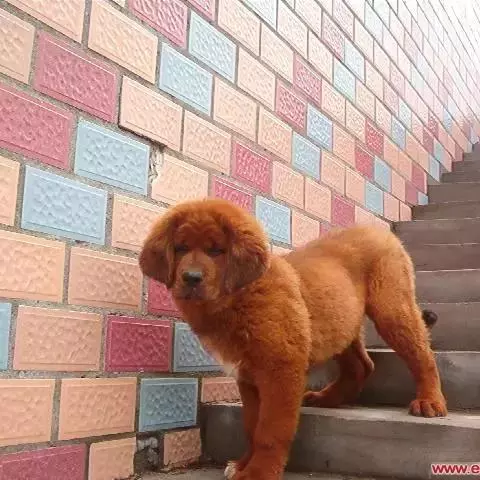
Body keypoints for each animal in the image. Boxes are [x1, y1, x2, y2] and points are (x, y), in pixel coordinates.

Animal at [139, 198, 447, 480]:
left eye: (216, 251)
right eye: (180, 248)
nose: (191, 278)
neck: (238, 296)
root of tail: (379, 230)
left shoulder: (281, 370)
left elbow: (270, 430)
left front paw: (258, 473)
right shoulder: (247, 377)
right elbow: (252, 426)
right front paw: (243, 463)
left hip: (392, 309)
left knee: (422, 356)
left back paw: (430, 401)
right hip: (339, 323)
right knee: (361, 366)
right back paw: (326, 398)